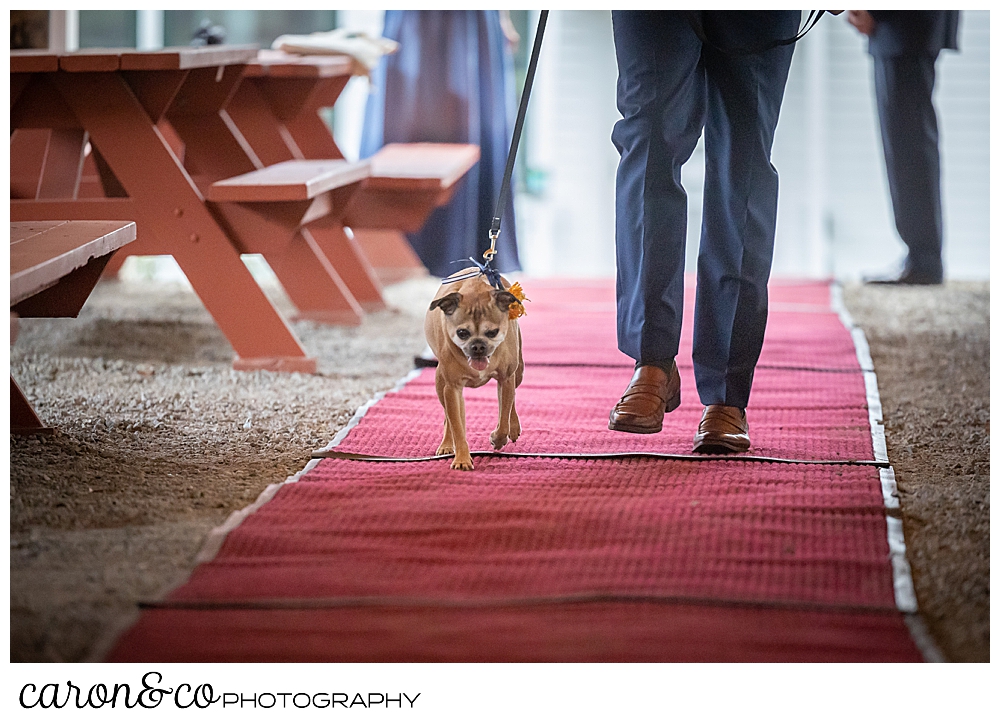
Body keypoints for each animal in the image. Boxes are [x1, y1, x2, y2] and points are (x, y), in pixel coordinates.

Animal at [426, 270, 528, 470]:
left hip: (518, 372)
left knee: (510, 403)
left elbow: (503, 417)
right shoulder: (452, 388)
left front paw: (498, 438)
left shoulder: (506, 378)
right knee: (449, 417)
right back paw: (446, 444)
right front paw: (462, 458)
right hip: (441, 384)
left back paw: (514, 426)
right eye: (462, 333)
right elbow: (457, 426)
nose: (478, 346)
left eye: (493, 332)